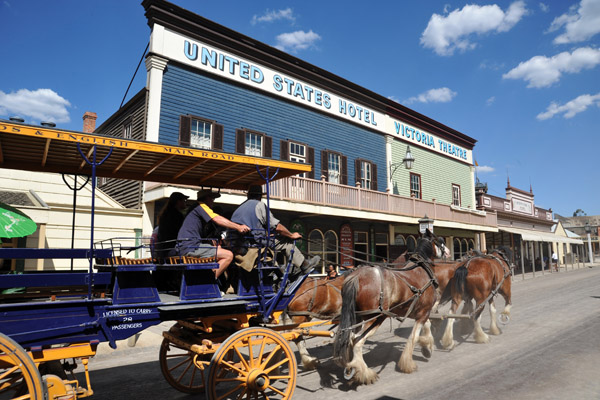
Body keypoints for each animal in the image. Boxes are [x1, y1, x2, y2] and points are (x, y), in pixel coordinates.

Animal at [332, 231, 450, 384]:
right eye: (440, 240)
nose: (448, 252)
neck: (421, 269)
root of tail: (356, 277)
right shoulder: (424, 311)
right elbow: (414, 335)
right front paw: (410, 361)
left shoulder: (416, 311)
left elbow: (426, 326)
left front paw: (426, 347)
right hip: (375, 318)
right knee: (356, 341)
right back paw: (365, 373)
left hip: (357, 317)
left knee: (349, 338)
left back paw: (351, 368)